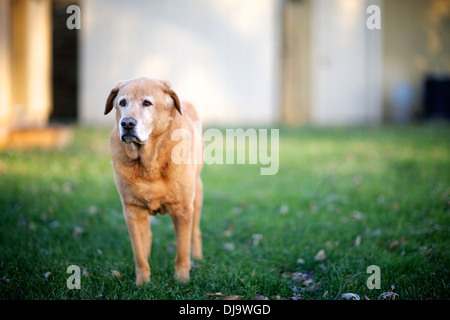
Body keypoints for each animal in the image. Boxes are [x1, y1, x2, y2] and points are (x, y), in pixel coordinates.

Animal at [103, 77, 203, 284]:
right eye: (122, 102)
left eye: (147, 103)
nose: (127, 123)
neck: (149, 161)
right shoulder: (132, 210)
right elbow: (138, 253)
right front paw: (142, 283)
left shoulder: (182, 209)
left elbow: (182, 251)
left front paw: (182, 280)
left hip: (197, 195)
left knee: (195, 231)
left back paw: (197, 256)